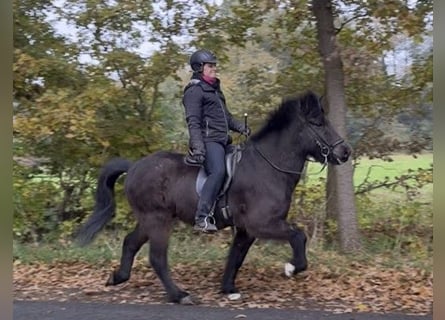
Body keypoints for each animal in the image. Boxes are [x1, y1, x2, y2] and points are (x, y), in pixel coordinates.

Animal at [78, 90, 352, 304]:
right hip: (158, 220)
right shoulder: (262, 223)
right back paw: (179, 295)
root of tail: (134, 166)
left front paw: (228, 289)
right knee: (157, 257)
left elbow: (236, 257)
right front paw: (291, 267)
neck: (268, 167)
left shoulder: (246, 229)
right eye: (318, 124)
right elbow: (298, 236)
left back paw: (118, 277)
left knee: (130, 243)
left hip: (148, 219)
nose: (345, 152)